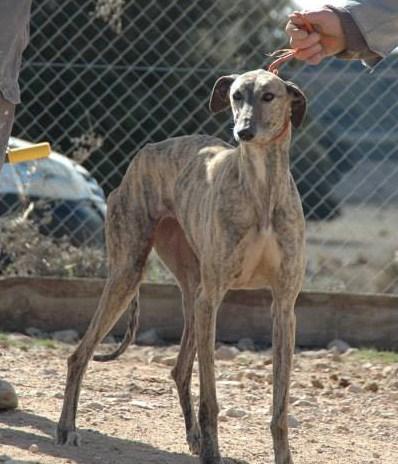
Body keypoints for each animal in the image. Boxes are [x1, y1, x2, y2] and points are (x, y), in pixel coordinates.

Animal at [56, 70, 304, 464]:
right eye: (236, 95)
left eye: (269, 96)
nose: (243, 132)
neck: (261, 189)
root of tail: (148, 150)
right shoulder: (213, 298)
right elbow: (211, 398)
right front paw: (214, 454)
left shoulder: (283, 306)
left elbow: (279, 407)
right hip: (130, 274)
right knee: (79, 355)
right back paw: (67, 428)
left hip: (191, 293)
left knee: (180, 368)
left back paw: (194, 437)